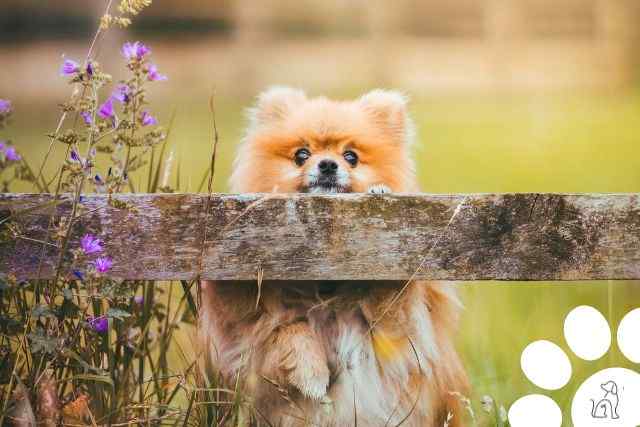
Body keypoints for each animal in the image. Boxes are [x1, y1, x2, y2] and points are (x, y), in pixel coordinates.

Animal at [201, 88, 470, 427]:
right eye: (302, 154)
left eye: (351, 156)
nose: (328, 164)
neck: (326, 279)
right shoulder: (242, 327)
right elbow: (286, 328)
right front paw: (312, 374)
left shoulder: (403, 331)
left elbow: (391, 296)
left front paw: (380, 193)